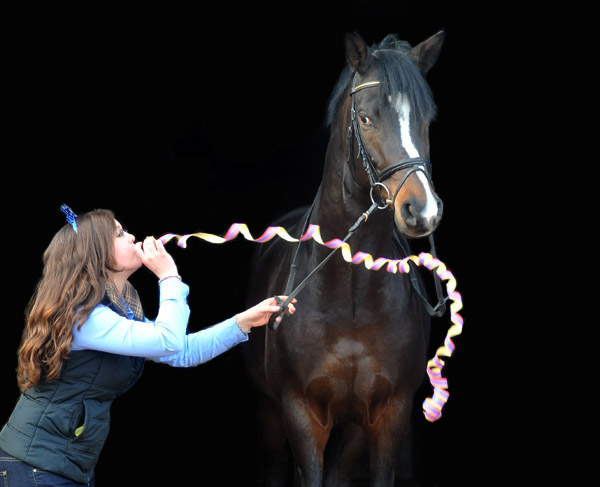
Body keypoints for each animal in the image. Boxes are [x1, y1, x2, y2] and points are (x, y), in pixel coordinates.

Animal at [244, 31, 446, 487]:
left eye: (426, 121)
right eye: (367, 119)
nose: (421, 211)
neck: (351, 297)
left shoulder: (386, 415)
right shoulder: (301, 412)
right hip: (267, 413)